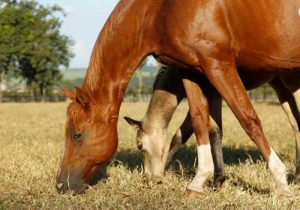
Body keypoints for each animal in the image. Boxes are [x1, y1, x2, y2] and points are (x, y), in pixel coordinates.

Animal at [125, 66, 300, 189]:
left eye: (139, 146)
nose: (148, 178)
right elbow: (183, 134)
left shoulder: (210, 94)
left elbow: (196, 133)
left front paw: (217, 181)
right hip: (281, 86)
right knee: (296, 125)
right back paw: (297, 177)